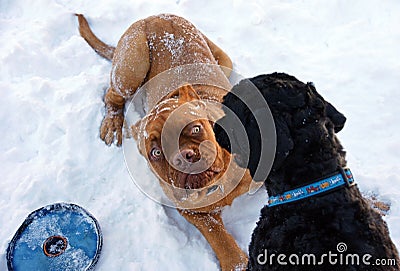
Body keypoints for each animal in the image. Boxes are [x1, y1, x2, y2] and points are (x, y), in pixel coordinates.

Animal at [77, 13, 253, 270]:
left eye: (195, 128)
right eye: (156, 153)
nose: (184, 157)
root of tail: (153, 16)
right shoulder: (191, 212)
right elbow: (217, 235)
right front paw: (235, 261)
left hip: (222, 61)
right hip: (131, 67)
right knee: (113, 95)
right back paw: (113, 123)